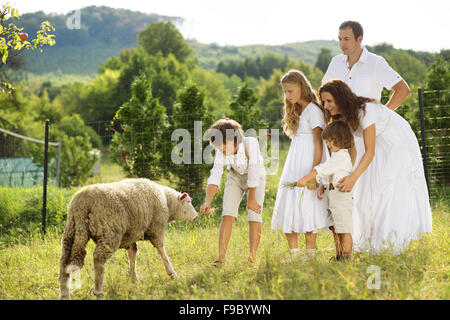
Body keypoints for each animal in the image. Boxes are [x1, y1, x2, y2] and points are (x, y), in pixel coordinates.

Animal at [57, 179, 197, 298]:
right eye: (189, 202)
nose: (196, 216)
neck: (168, 202)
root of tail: (82, 204)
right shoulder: (156, 228)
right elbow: (161, 250)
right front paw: (172, 273)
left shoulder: (132, 234)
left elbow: (132, 253)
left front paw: (133, 278)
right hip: (110, 233)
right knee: (98, 258)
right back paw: (98, 290)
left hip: (71, 231)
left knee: (64, 260)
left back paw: (64, 292)